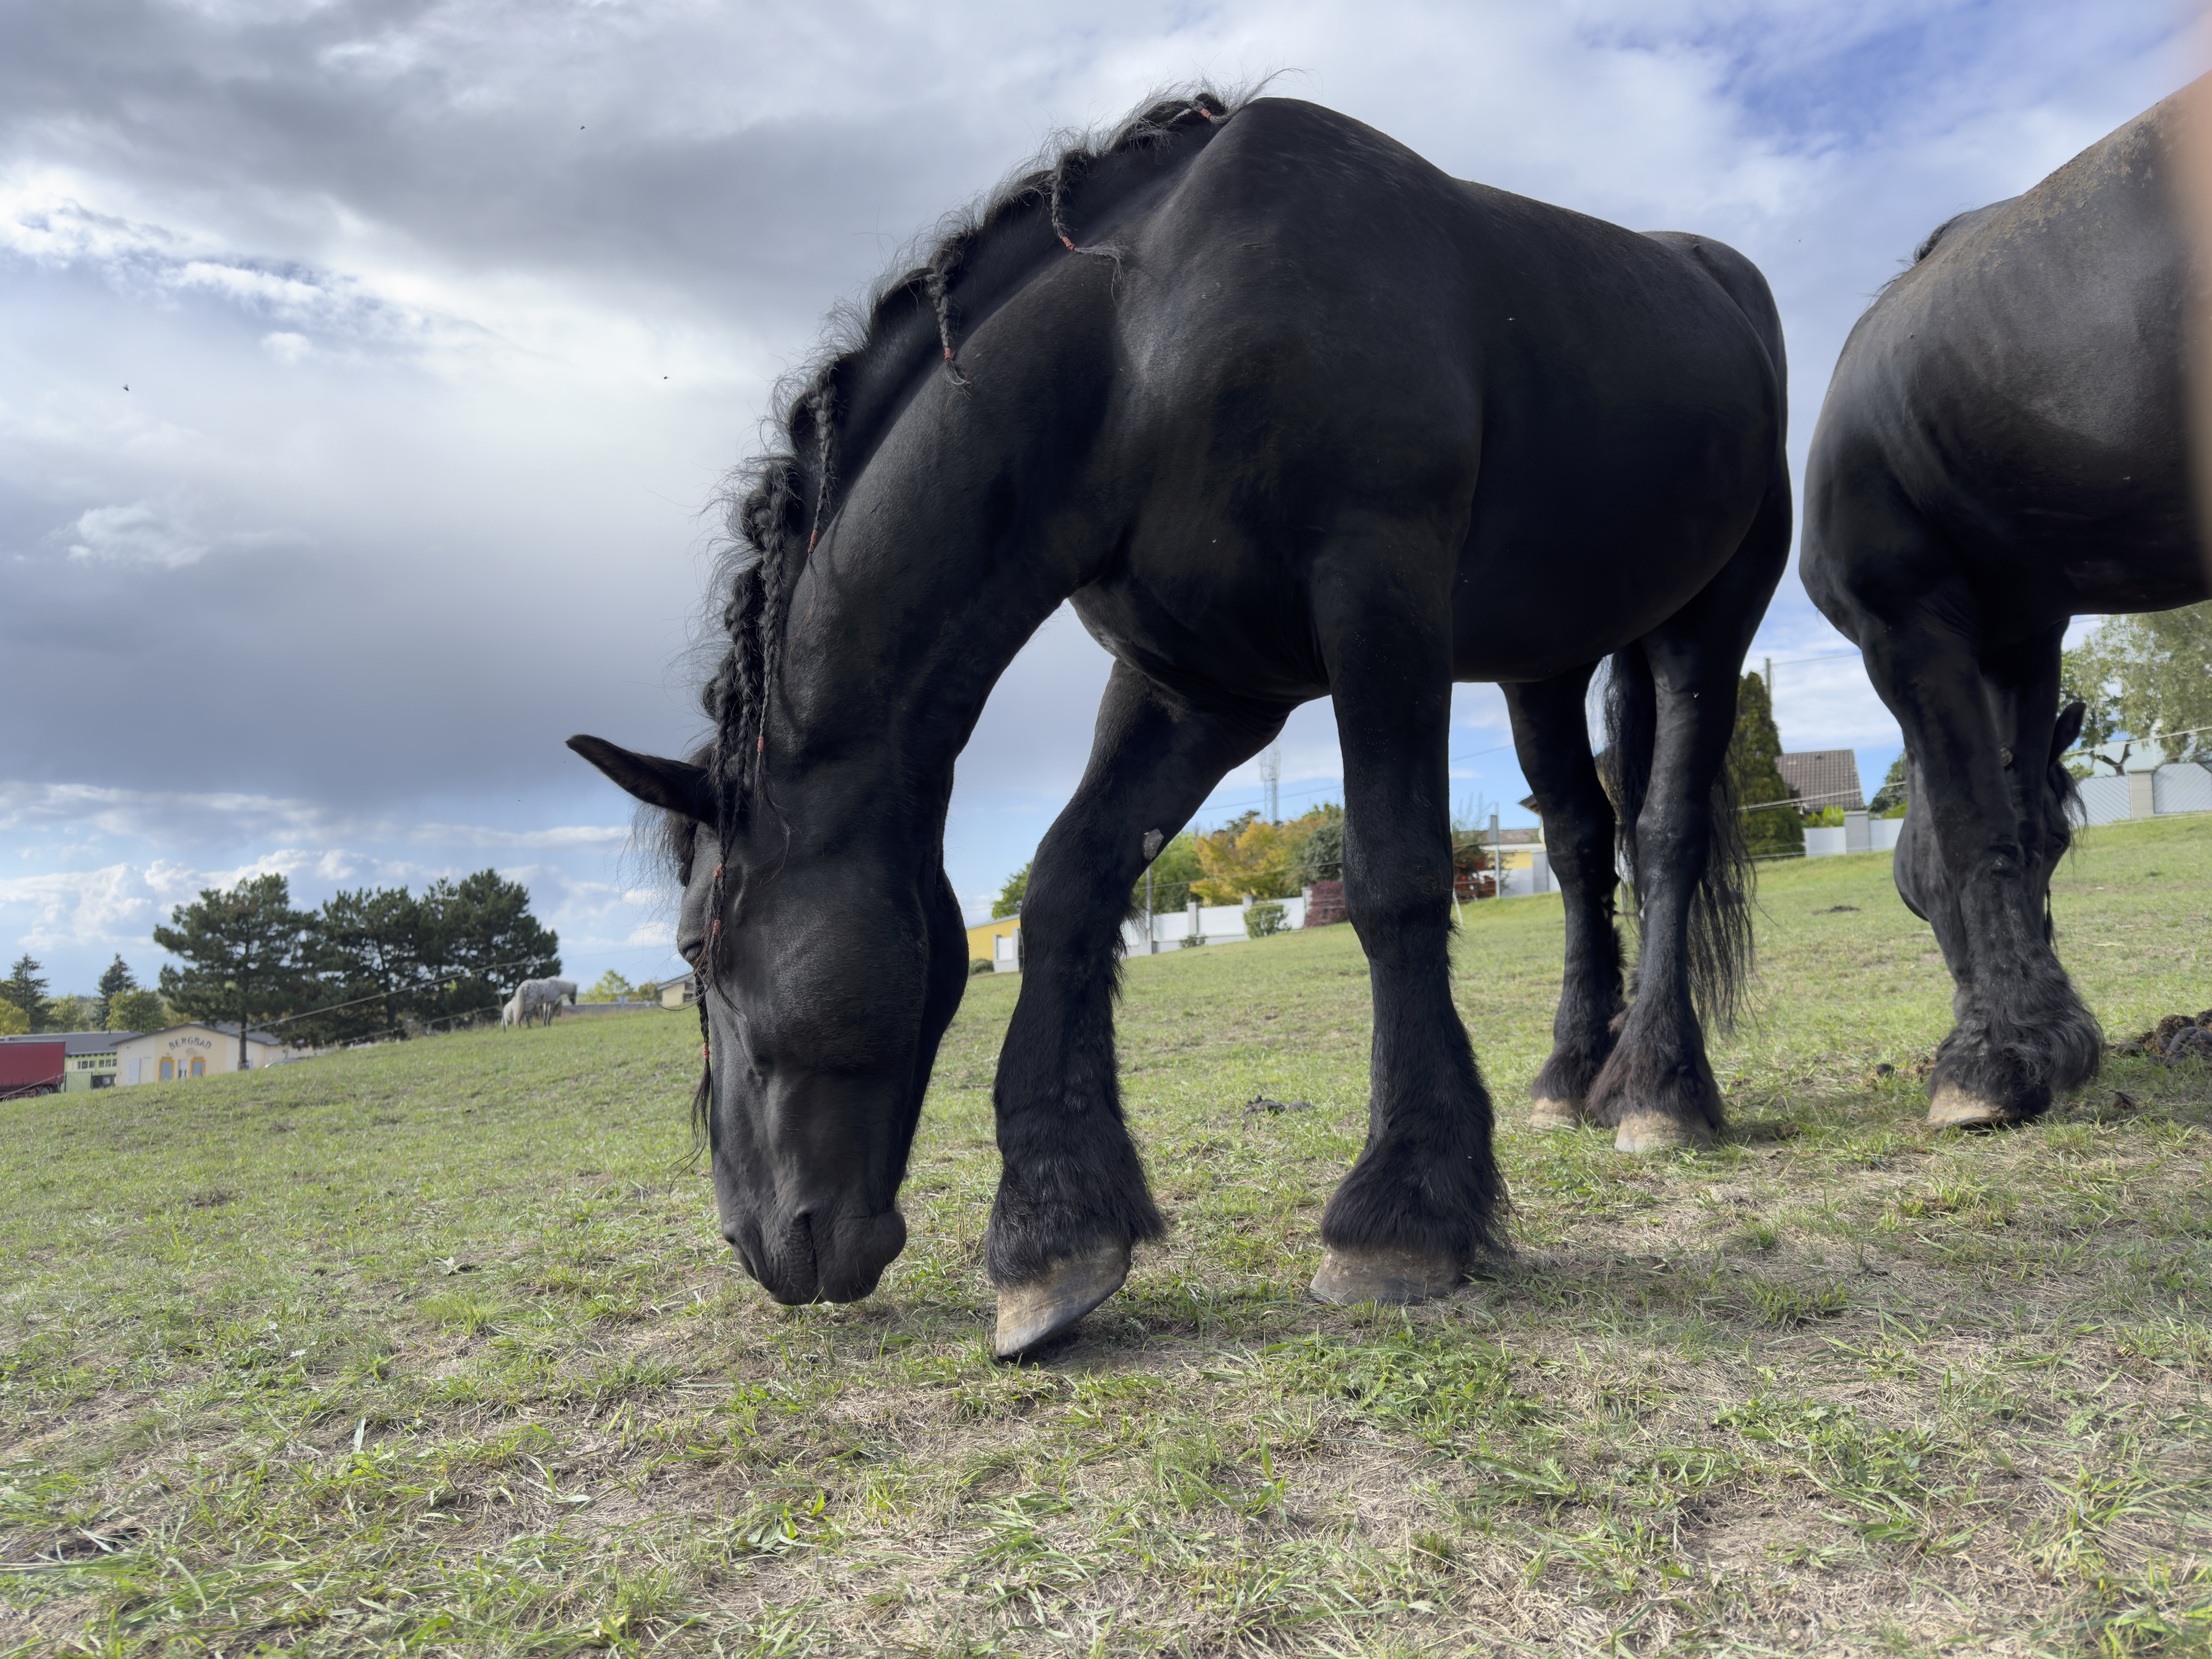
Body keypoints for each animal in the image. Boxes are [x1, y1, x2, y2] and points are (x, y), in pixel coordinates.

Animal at [570, 89, 1791, 1356]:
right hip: (1543, 665)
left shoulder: (1380, 601)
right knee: (1582, 843)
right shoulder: (1198, 686)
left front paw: (1402, 1214)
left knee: (1664, 836)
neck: (1142, 346)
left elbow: (1395, 880)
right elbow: (1069, 887)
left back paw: (1661, 1090)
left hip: (1710, 620)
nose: (755, 1242)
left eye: (693, 952)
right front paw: (1053, 1235)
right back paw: (1569, 1078)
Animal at [1801, 81, 2207, 1130]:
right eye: (2067, 850)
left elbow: (1974, 821)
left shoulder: (1906, 627)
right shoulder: (2024, 635)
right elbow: (2015, 818)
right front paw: (2051, 1037)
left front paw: (1994, 1056)